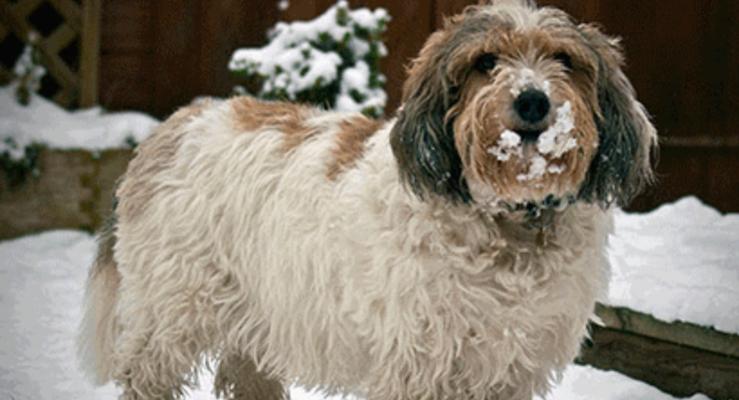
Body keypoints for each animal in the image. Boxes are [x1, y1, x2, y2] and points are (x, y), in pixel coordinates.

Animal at [81, 1, 656, 398]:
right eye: (486, 61)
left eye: (564, 59)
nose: (533, 102)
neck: (506, 223)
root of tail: (172, 126)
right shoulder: (419, 362)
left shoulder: (510, 367)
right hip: (169, 316)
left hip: (257, 321)